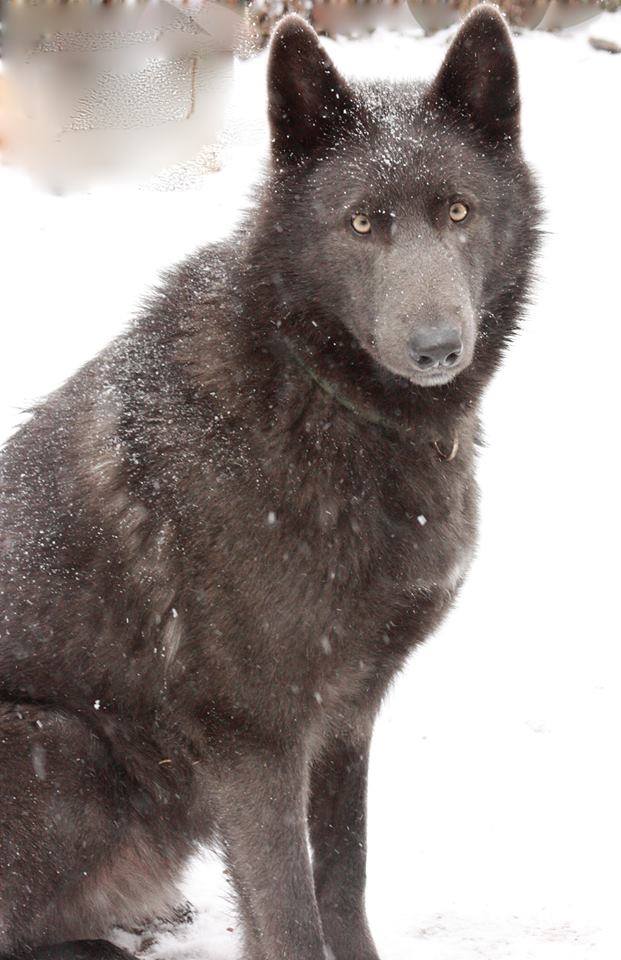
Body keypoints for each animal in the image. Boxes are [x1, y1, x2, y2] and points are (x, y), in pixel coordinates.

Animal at [0, 9, 540, 960]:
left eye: (459, 212)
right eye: (361, 223)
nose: (438, 347)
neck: (317, 395)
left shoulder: (347, 717)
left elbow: (342, 878)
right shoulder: (254, 739)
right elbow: (288, 912)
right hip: (61, 747)